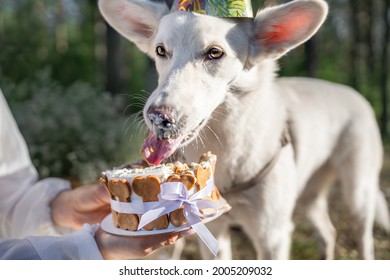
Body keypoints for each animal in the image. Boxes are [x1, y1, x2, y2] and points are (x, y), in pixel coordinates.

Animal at [99, 0, 388, 260]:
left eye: (215, 53)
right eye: (160, 50)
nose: (157, 117)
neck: (228, 147)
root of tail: (353, 93)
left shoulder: (272, 236)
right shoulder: (214, 230)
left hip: (358, 195)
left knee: (363, 240)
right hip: (309, 198)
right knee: (328, 233)